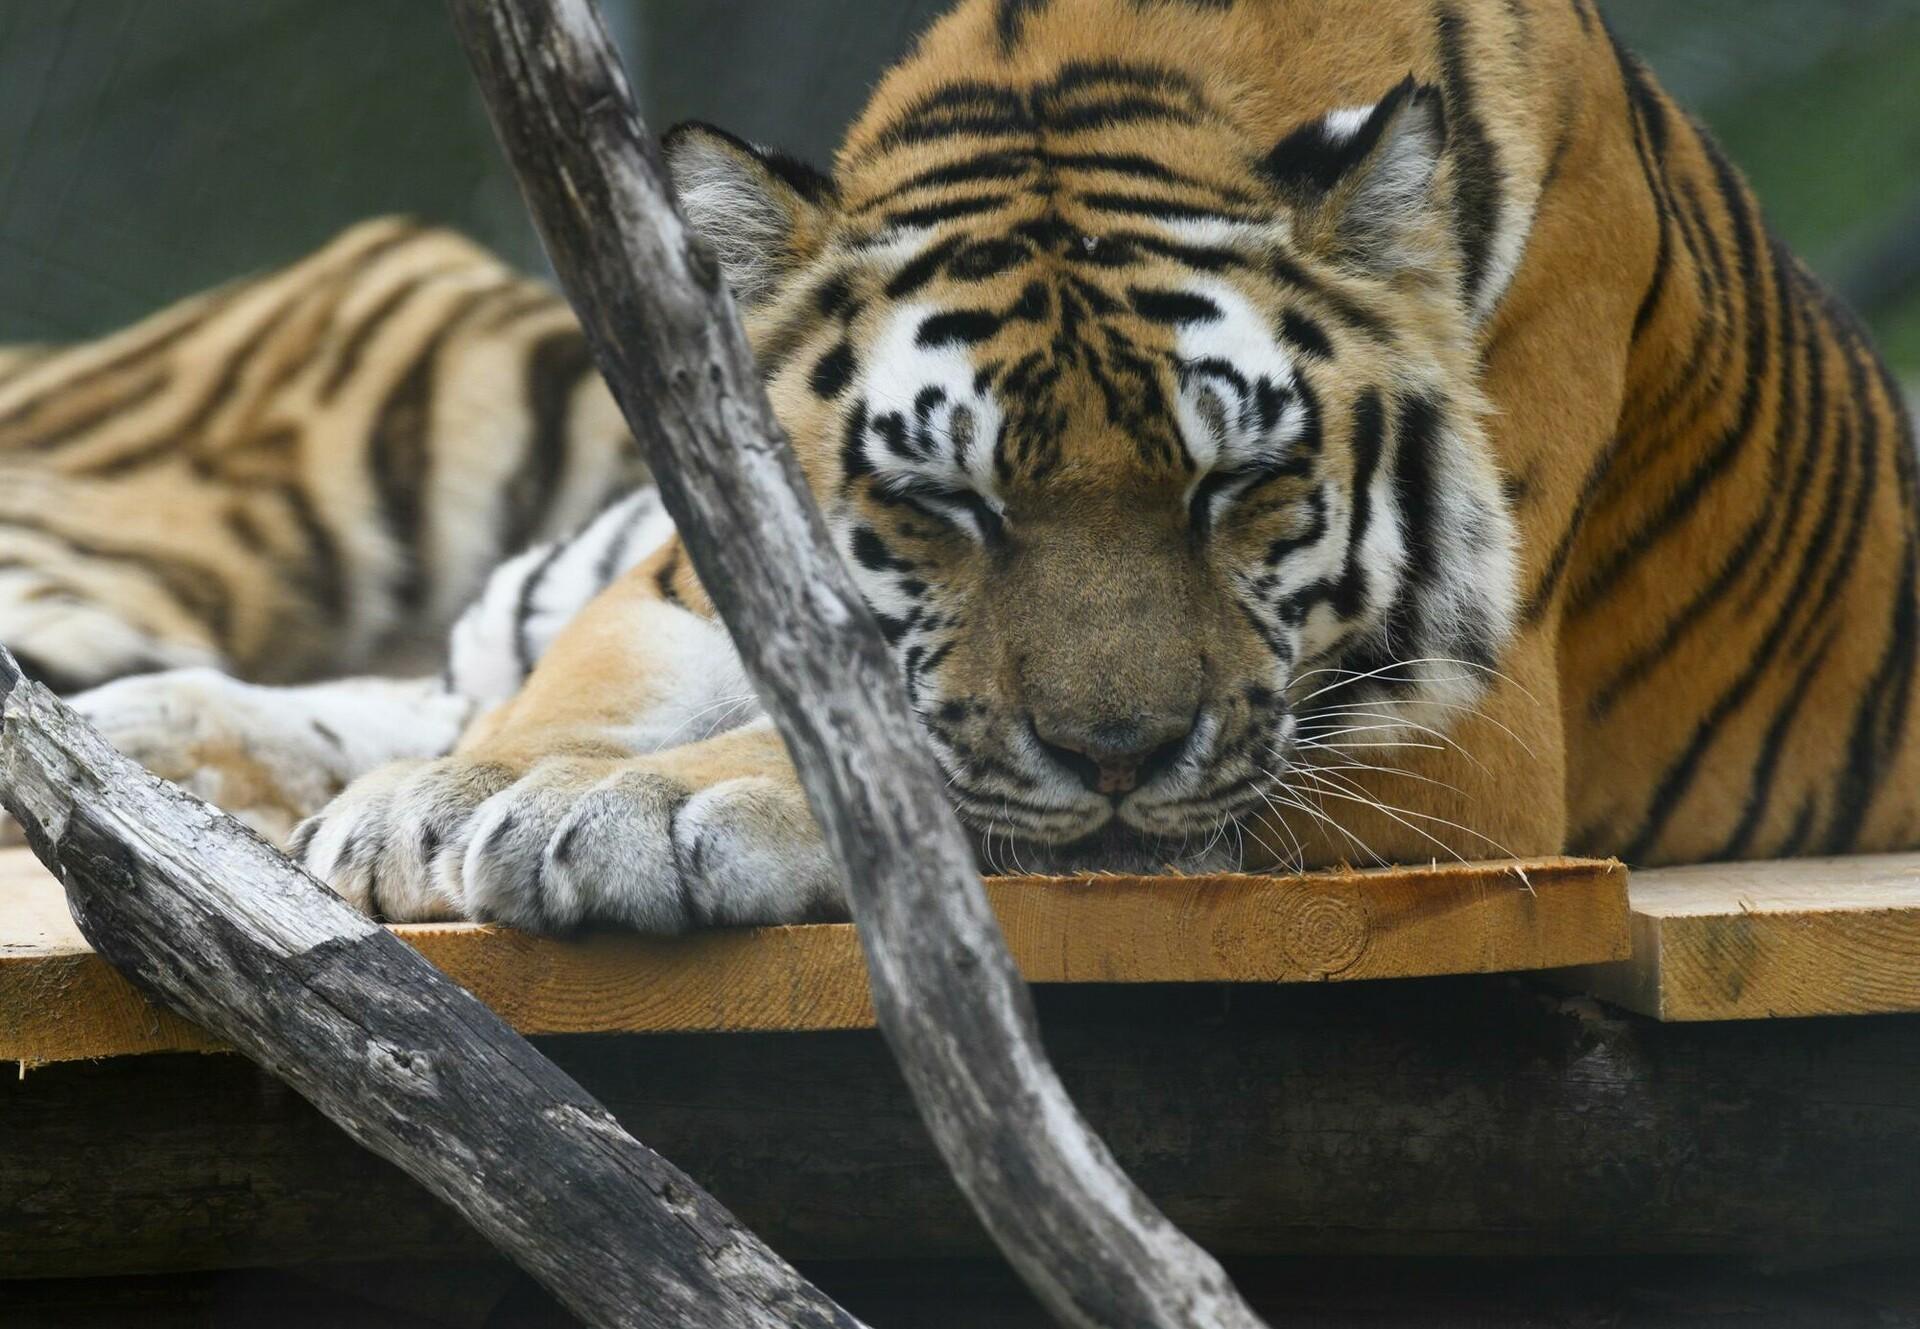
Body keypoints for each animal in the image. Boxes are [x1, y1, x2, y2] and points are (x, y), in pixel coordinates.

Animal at [8, 0, 1916, 935]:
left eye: (1239, 488)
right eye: (943, 506)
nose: (1123, 753)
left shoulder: (1456, 738)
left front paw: (635, 808)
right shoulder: (700, 553)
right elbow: (597, 678)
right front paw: (459, 800)